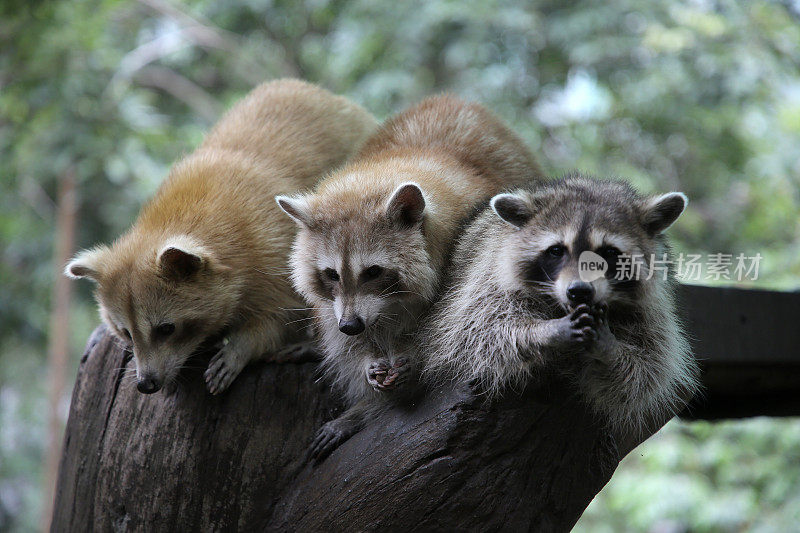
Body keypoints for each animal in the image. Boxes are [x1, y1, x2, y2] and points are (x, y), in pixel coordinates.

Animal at [64, 79, 376, 394]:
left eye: (166, 329)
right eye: (126, 332)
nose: (146, 384)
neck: (173, 220)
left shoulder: (276, 250)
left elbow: (281, 317)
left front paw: (242, 347)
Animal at [276, 94, 544, 458]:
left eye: (373, 272)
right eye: (331, 274)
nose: (351, 325)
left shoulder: (470, 254)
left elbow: (464, 333)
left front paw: (408, 366)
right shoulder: (336, 305)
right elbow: (341, 338)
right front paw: (365, 362)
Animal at [424, 174, 700, 432]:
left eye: (609, 252)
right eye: (556, 251)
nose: (579, 291)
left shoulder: (651, 309)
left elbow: (648, 368)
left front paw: (609, 349)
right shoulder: (488, 276)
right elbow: (477, 330)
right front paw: (544, 332)